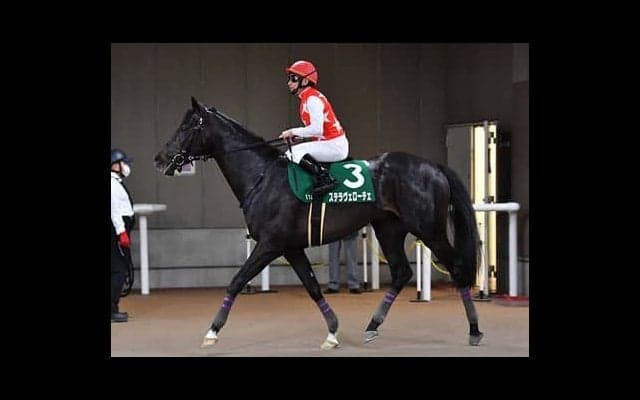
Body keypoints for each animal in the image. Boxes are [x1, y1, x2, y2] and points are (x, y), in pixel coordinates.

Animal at [154, 97, 484, 349]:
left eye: (187, 126)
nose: (161, 158)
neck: (263, 175)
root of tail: (434, 166)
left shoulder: (270, 244)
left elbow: (236, 281)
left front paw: (212, 331)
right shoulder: (291, 247)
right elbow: (313, 287)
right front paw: (333, 332)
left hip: (429, 230)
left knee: (456, 268)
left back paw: (474, 330)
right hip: (389, 228)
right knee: (402, 272)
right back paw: (372, 325)